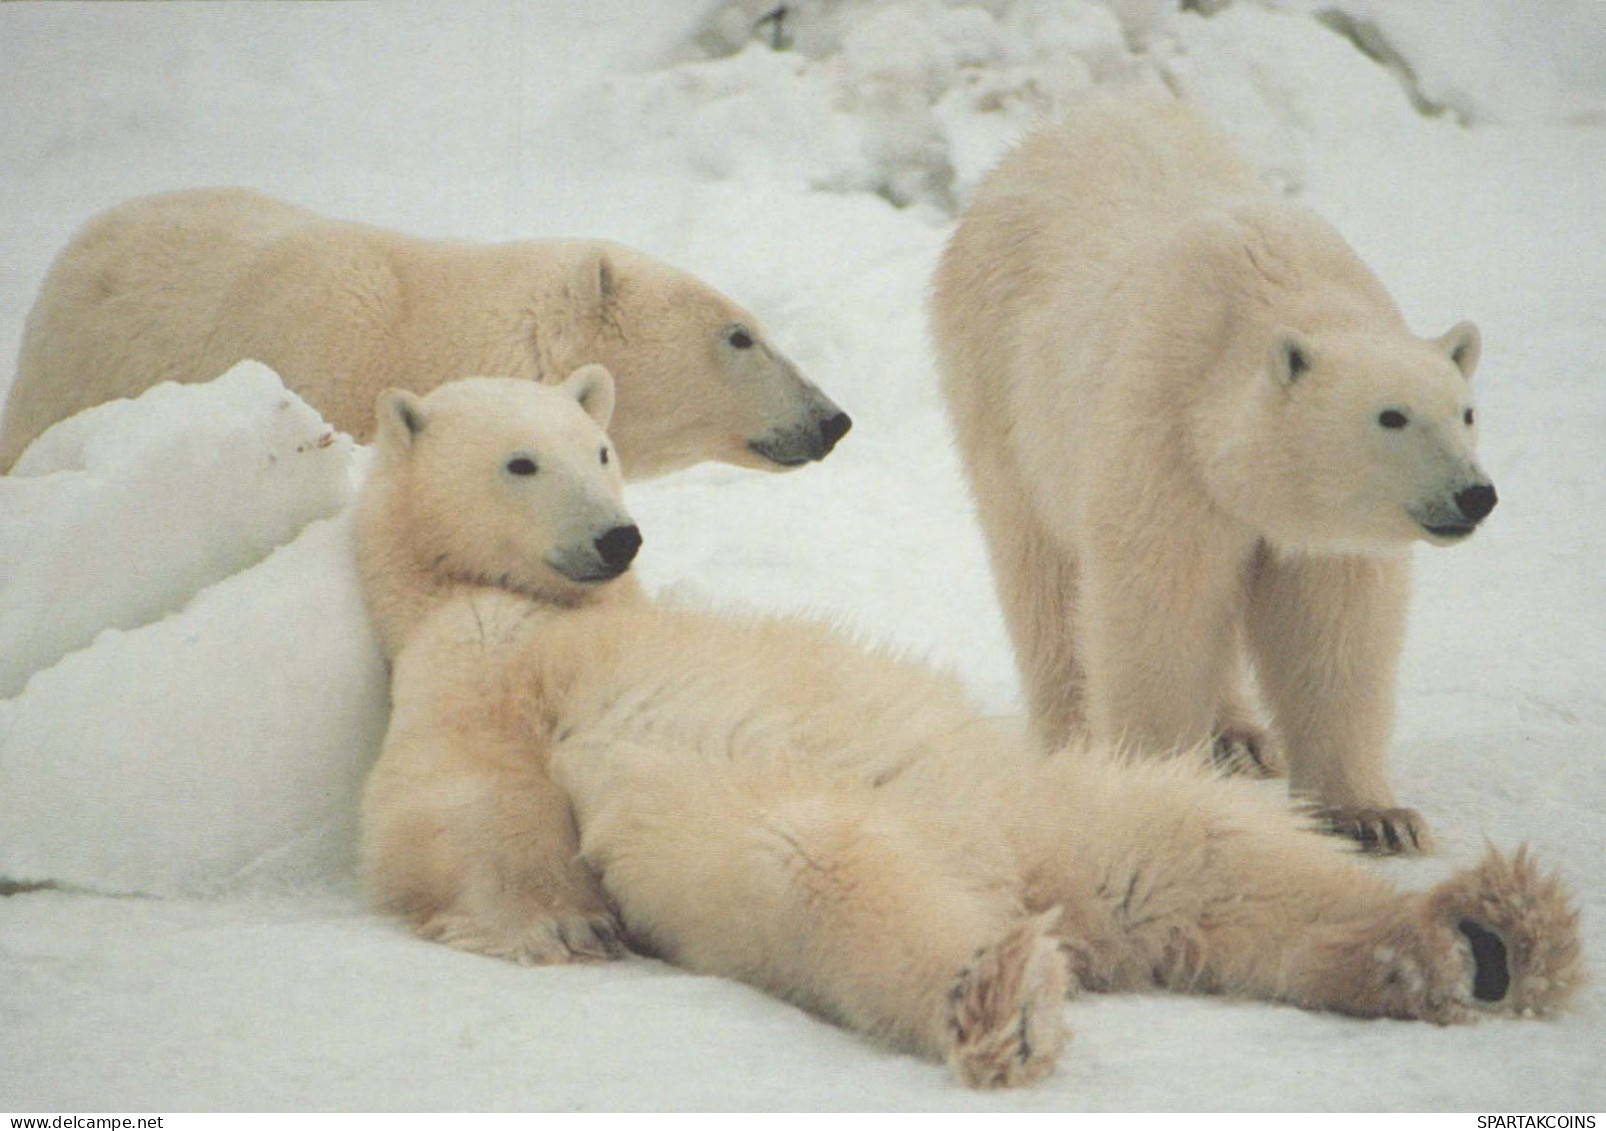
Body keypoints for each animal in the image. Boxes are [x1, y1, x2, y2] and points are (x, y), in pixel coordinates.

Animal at [937, 97, 1496, 854]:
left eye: (1465, 411)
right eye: (1391, 416)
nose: (1475, 494)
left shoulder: (1318, 532)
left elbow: (1334, 627)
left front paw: (1377, 817)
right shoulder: (1164, 432)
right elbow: (1159, 599)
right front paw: (1155, 786)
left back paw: (1240, 737)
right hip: (1002, 388)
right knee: (1041, 574)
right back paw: (1074, 737)